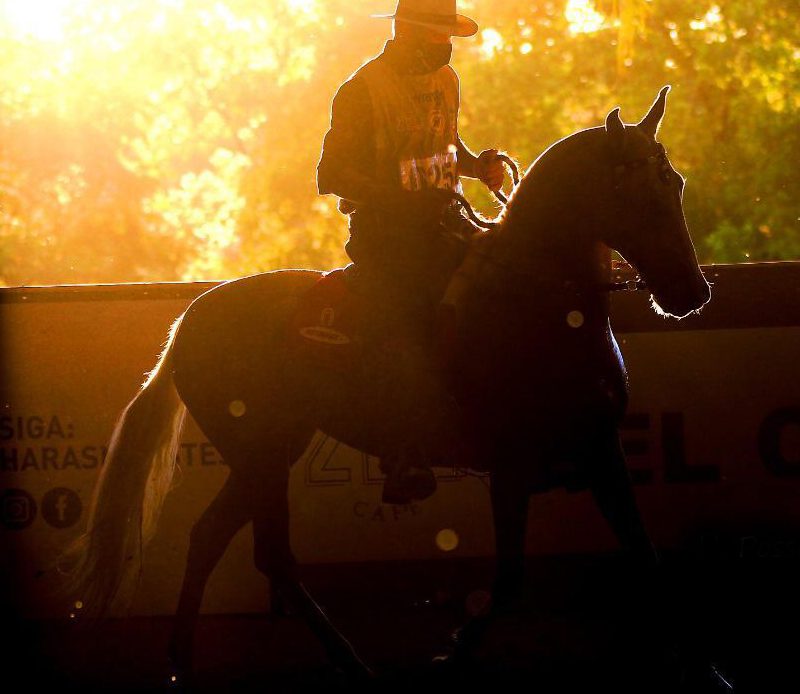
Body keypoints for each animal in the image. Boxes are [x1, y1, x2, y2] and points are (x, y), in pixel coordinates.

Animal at [59, 85, 708, 684]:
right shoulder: (510, 469)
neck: (539, 303)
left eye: (673, 184)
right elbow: (508, 581)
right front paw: (452, 654)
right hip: (261, 455)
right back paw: (349, 664)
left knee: (211, 538)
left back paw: (183, 662)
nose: (691, 292)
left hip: (269, 452)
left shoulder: (602, 452)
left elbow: (646, 558)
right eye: (636, 191)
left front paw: (710, 673)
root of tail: (190, 320)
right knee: (271, 556)